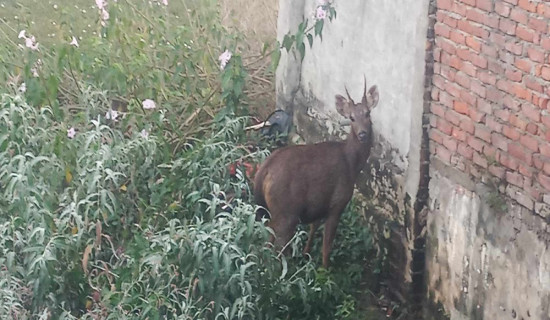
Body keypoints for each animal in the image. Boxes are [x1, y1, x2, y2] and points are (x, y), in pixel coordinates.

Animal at [254, 80, 380, 268]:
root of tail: (263, 171)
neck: (352, 164)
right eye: (351, 118)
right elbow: (326, 246)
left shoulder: (320, 203)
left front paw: (306, 255)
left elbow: (314, 228)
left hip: (273, 212)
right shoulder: (337, 203)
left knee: (268, 241)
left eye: (367, 113)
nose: (363, 134)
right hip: (286, 212)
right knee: (278, 248)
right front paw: (325, 270)